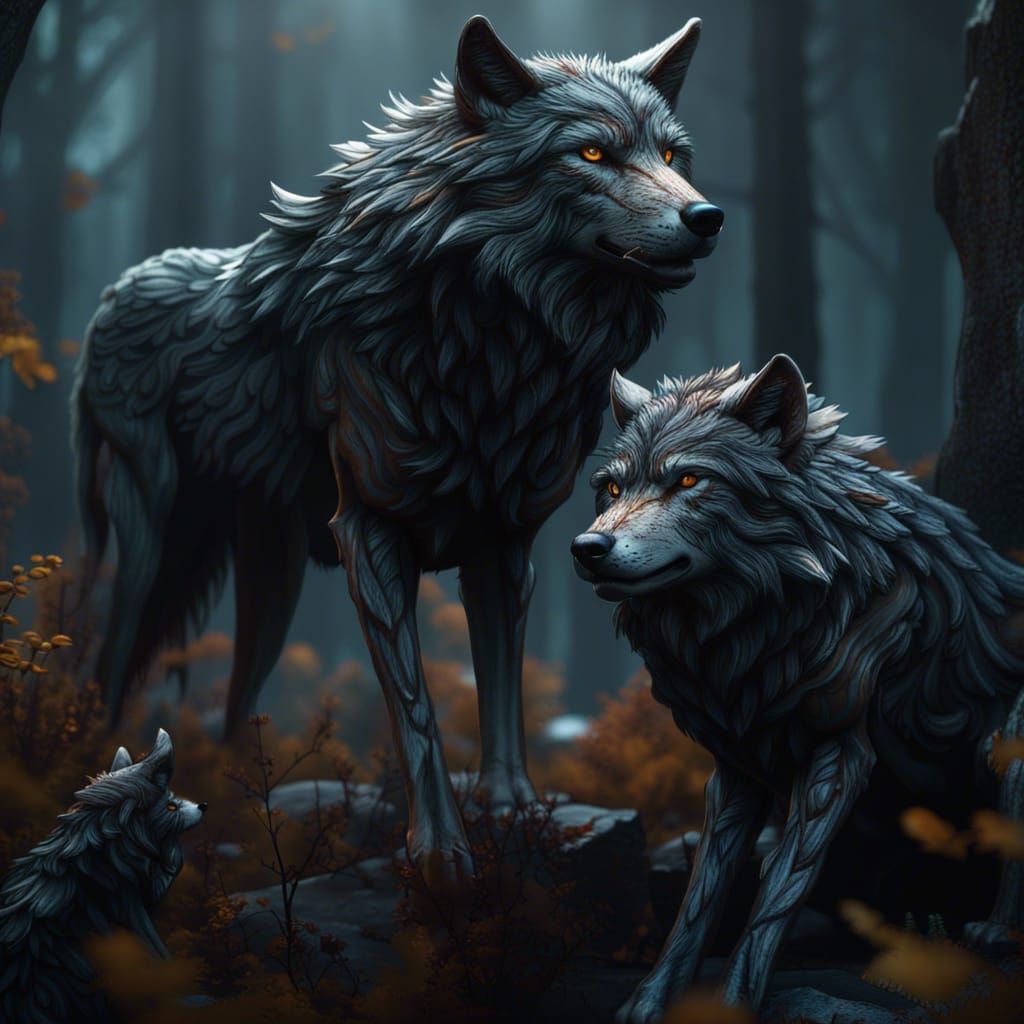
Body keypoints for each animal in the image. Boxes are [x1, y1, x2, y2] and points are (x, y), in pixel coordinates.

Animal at [72, 16, 722, 875]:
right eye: (591, 154)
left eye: (673, 156)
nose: (708, 217)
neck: (486, 340)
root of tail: (113, 291)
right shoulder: (372, 537)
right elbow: (418, 711)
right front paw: (441, 851)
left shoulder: (504, 543)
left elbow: (502, 689)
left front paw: (514, 811)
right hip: (150, 545)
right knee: (109, 663)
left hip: (273, 579)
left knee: (239, 696)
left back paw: (246, 822)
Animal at [571, 355, 1024, 1020]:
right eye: (610, 488)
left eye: (689, 481)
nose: (587, 547)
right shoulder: (733, 765)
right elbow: (700, 899)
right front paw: (651, 1000)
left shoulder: (838, 756)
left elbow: (777, 896)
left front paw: (735, 1003)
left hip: (1002, 745)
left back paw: (996, 931)